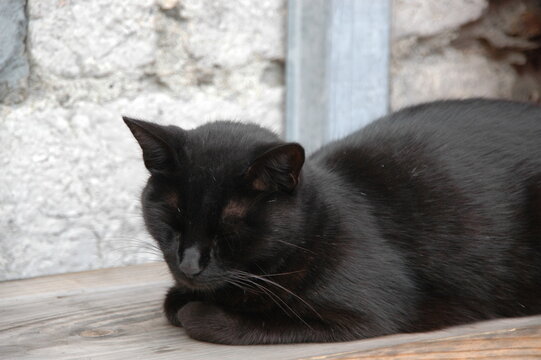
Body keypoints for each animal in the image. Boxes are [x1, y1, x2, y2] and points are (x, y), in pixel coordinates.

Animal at [123, 99, 540, 346]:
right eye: (172, 216)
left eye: (229, 226)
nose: (189, 264)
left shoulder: (365, 315)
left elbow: (228, 320)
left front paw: (198, 310)